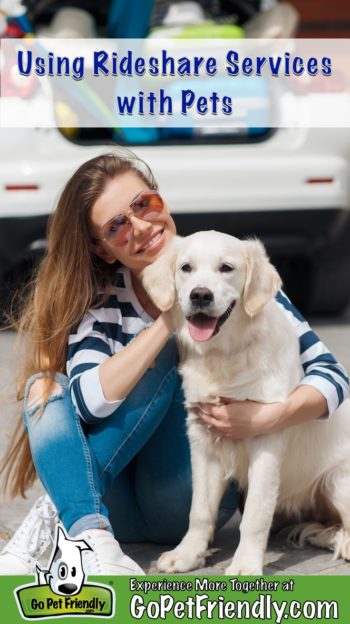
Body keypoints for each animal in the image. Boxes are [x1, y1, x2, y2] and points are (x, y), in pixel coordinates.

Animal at [142, 230, 350, 576]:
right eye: (186, 268)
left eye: (226, 268)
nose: (200, 295)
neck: (225, 354)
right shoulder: (202, 440)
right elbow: (199, 510)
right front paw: (187, 555)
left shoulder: (266, 439)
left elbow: (254, 516)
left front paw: (245, 565)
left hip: (337, 481)